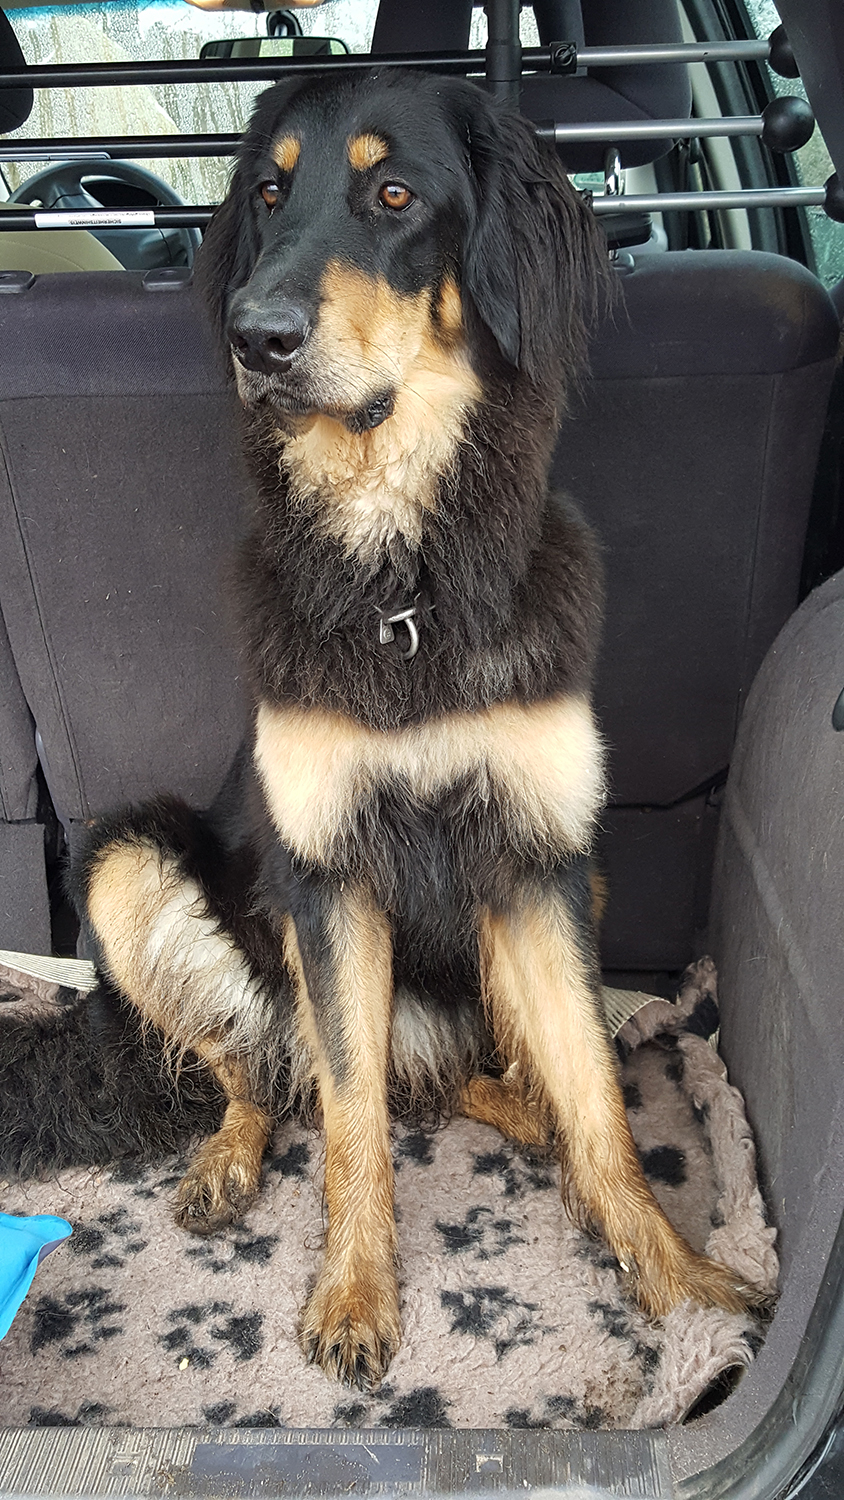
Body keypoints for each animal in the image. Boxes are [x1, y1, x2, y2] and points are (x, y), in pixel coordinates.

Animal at [45, 69, 756, 1391]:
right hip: (130, 864)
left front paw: (677, 1279)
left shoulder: (538, 859)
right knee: (270, 1070)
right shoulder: (328, 882)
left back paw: (532, 1126)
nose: (256, 338)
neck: (402, 581)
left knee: (475, 1074)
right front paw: (356, 1294)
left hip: (565, 900)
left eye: (392, 196)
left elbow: (600, 1106)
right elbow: (351, 1120)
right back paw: (227, 1158)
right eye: (268, 194)